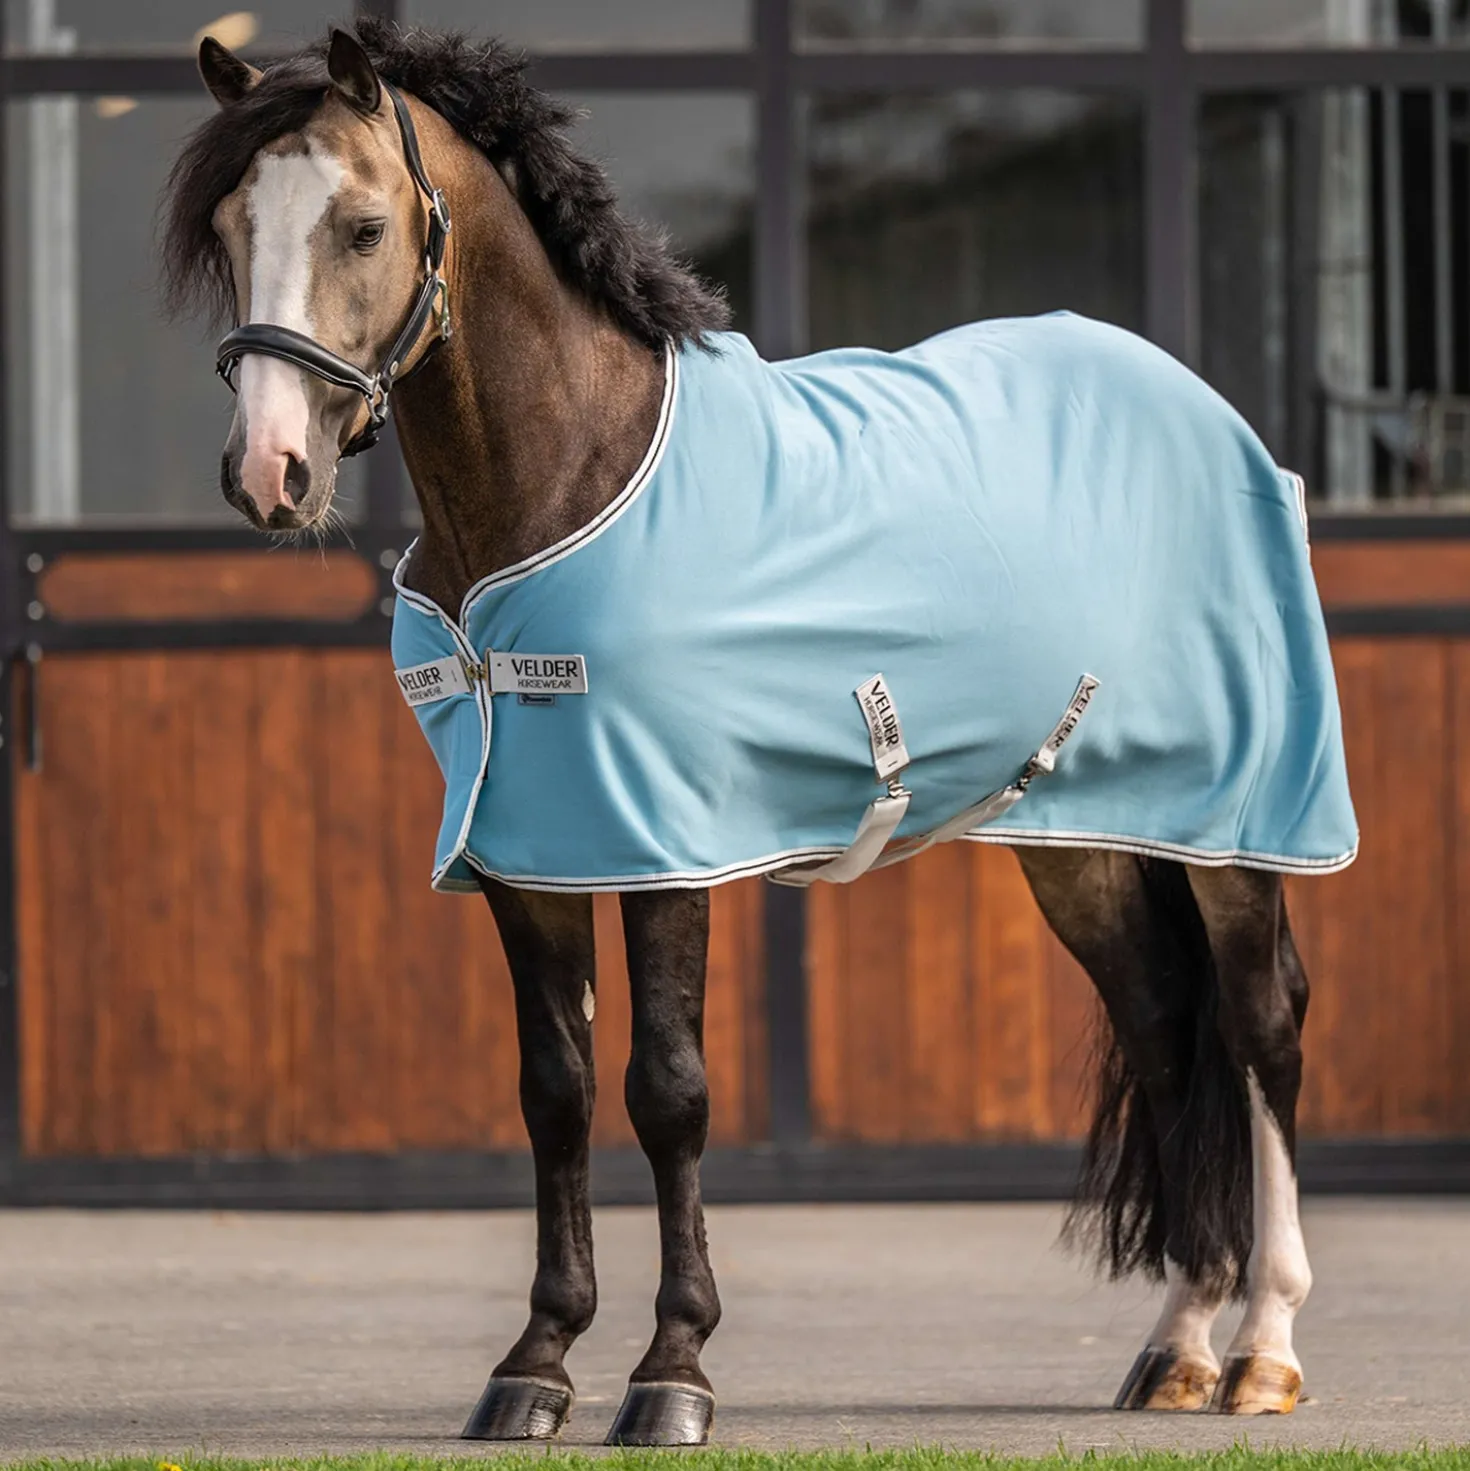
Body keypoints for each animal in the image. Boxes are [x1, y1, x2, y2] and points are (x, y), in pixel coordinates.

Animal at [161, 21, 1356, 1445]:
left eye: (361, 225)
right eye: (229, 226)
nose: (269, 473)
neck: (571, 467)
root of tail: (1204, 411)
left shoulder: (664, 845)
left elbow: (668, 1090)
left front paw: (672, 1371)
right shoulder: (528, 854)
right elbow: (556, 1091)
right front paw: (535, 1364)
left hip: (1242, 821)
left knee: (1262, 1023)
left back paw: (1266, 1348)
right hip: (1085, 842)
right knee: (1166, 1020)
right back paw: (1176, 1346)